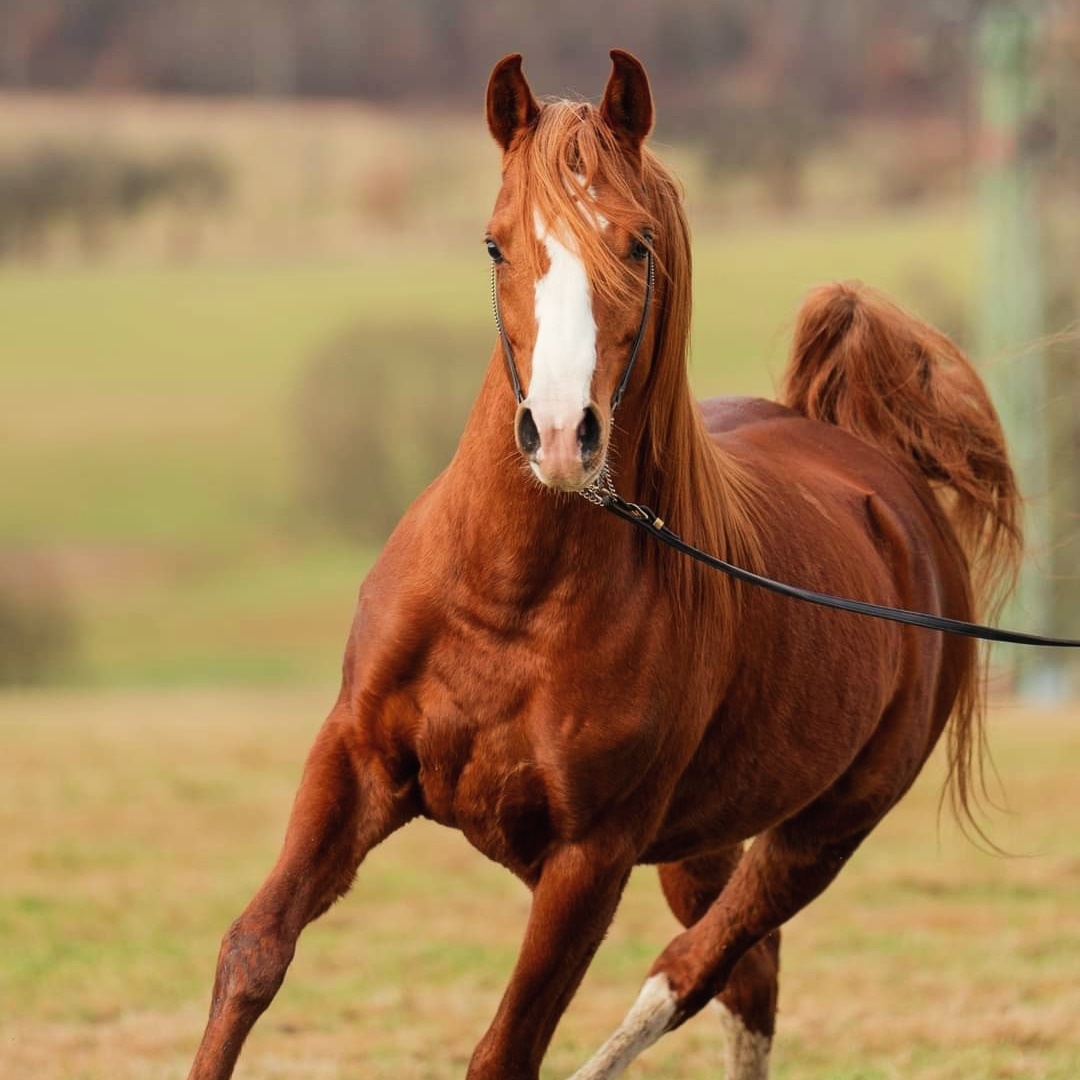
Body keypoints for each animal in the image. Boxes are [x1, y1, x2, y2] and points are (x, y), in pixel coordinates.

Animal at [185, 50, 1019, 1080]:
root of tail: (881, 477)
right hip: (704, 841)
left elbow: (508, 1049)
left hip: (821, 834)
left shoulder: (592, 857)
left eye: (638, 246)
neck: (509, 600)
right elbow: (255, 954)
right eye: (496, 245)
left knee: (697, 968)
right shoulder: (355, 760)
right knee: (748, 980)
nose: (557, 435)